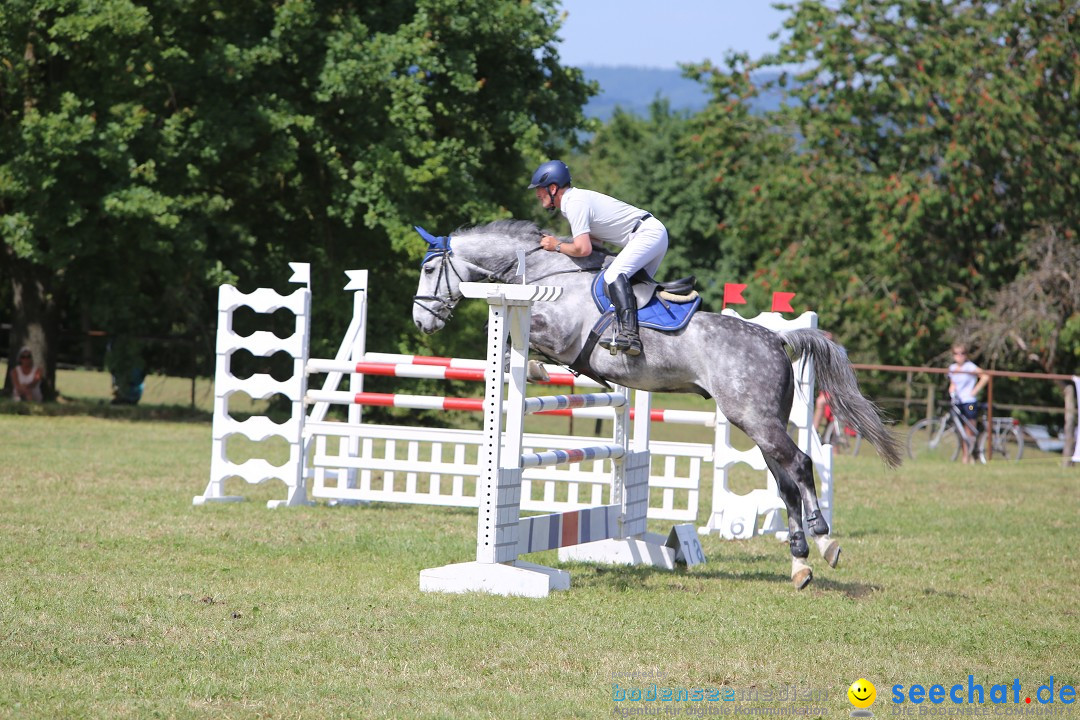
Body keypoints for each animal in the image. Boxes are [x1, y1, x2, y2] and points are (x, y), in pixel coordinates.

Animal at [412, 220, 902, 591]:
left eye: (431, 267)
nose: (421, 321)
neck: (548, 272)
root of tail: (778, 337)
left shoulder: (561, 335)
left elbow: (519, 338)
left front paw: (532, 369)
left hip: (754, 419)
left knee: (800, 465)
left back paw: (824, 541)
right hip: (761, 423)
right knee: (785, 483)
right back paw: (800, 563)